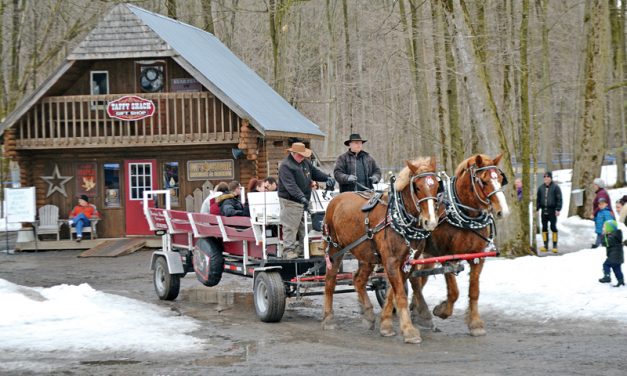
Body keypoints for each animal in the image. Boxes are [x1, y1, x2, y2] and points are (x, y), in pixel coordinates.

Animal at [322, 156, 440, 344]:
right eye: (417, 187)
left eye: (436, 185)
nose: (431, 221)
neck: (398, 217)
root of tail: (335, 200)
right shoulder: (391, 261)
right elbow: (400, 295)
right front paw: (409, 331)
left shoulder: (405, 263)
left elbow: (392, 292)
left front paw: (385, 325)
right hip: (334, 249)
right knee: (330, 280)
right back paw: (328, 319)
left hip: (366, 255)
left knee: (358, 280)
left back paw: (368, 314)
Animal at [402, 154, 510, 336]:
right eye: (484, 181)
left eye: (501, 179)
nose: (504, 211)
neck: (466, 214)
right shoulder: (448, 257)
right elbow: (453, 292)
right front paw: (442, 310)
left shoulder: (478, 257)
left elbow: (474, 291)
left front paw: (475, 323)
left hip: (427, 255)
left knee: (420, 278)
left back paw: (416, 310)